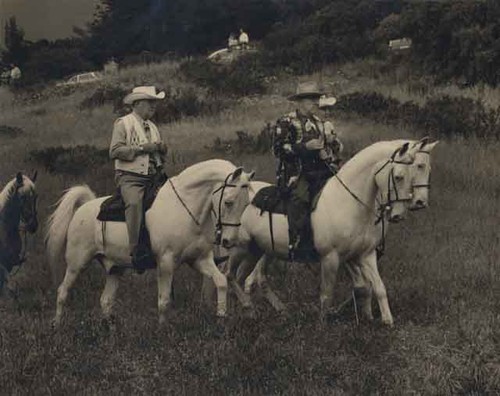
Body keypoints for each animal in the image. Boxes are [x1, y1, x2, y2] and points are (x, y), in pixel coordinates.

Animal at [46, 159, 254, 326]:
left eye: (246, 204)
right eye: (228, 202)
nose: (229, 240)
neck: (184, 207)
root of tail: (84, 207)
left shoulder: (200, 260)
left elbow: (221, 282)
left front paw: (221, 316)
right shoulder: (166, 263)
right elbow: (164, 301)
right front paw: (162, 331)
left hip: (115, 269)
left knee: (106, 300)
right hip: (77, 264)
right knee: (62, 292)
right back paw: (57, 325)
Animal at [238, 139, 438, 322]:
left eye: (425, 169)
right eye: (398, 176)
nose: (401, 213)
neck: (349, 202)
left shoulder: (365, 254)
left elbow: (376, 287)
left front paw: (381, 321)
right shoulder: (331, 258)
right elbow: (327, 296)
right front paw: (323, 325)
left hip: (266, 251)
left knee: (258, 279)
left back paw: (280, 310)